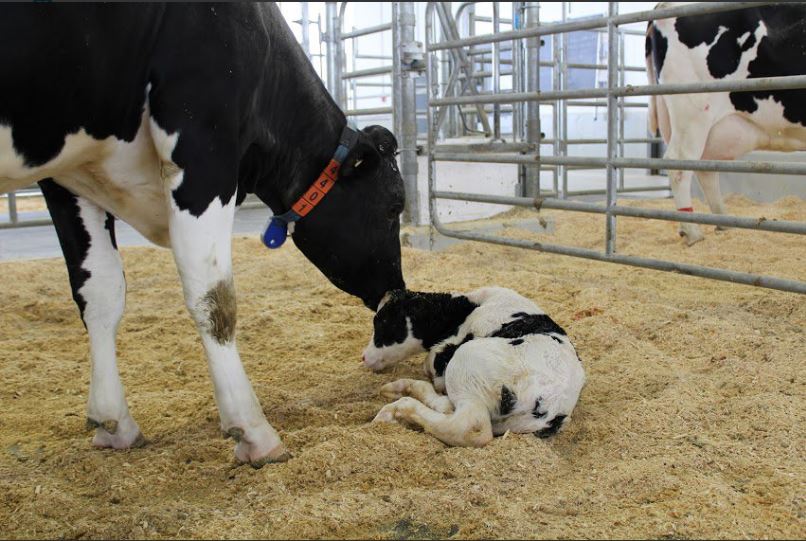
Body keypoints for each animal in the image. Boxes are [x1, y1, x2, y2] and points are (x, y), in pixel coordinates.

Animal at [0, 2, 404, 466]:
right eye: (395, 205)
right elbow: (214, 298)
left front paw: (113, 421)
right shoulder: (202, 146)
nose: (398, 291)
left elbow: (99, 292)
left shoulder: (69, 176)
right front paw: (253, 431)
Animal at [362, 286, 584, 448]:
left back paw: (398, 407)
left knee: (468, 426)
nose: (364, 357)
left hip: (466, 362)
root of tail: (553, 402)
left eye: (383, 321)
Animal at [648, 2, 806, 245]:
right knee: (680, 163)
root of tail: (665, 6)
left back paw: (723, 223)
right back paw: (693, 232)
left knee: (705, 167)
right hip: (693, 112)